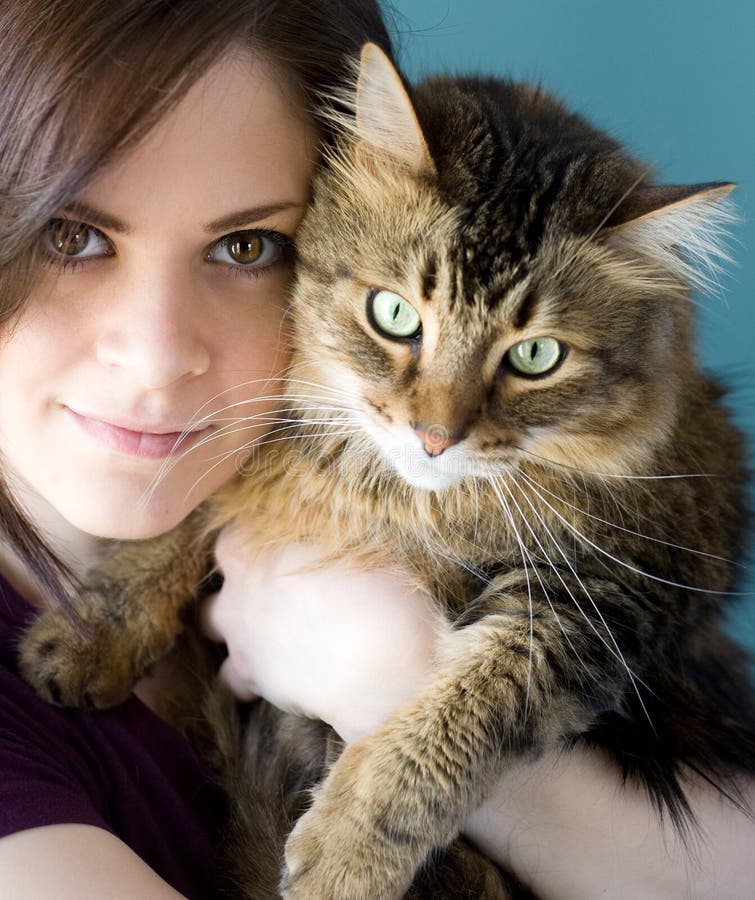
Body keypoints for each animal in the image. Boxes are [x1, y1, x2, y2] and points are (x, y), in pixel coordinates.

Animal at [20, 42, 755, 900]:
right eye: (394, 314)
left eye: (536, 356)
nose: (433, 436)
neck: (395, 498)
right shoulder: (265, 448)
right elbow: (182, 520)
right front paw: (88, 633)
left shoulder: (602, 599)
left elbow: (460, 716)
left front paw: (348, 853)